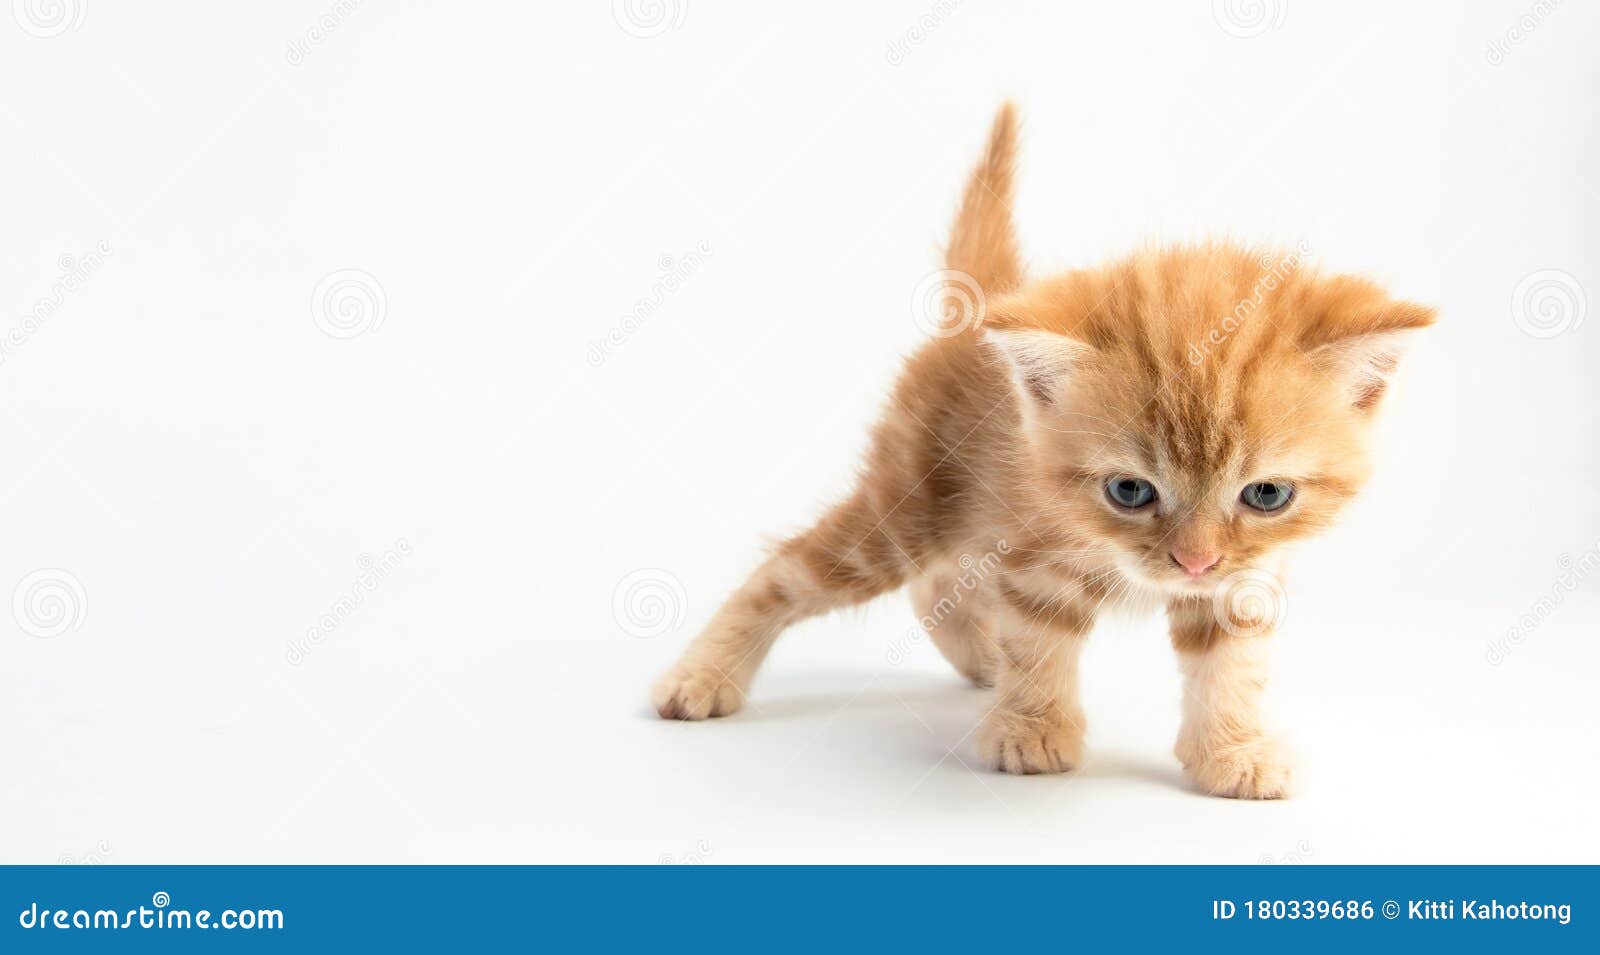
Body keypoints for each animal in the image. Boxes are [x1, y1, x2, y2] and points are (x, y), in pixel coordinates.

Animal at [649, 103, 1440, 796]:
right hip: (909, 506)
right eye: (1130, 490)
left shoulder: (1241, 579)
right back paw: (701, 677)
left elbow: (1231, 665)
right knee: (791, 572)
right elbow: (1038, 641)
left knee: (936, 585)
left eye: (1267, 494)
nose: (1193, 562)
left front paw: (1232, 750)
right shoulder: (1031, 557)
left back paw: (980, 661)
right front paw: (1031, 728)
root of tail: (976, 309)